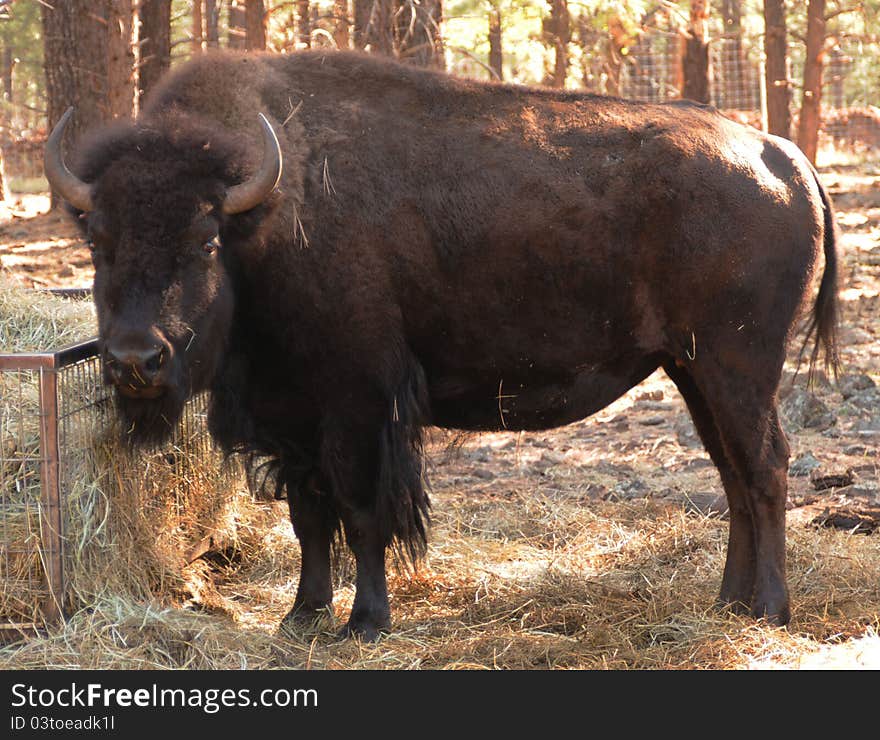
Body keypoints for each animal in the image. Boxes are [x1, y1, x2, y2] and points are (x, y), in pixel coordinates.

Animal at [46, 50, 840, 640]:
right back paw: (728, 604)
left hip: (738, 367)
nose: (135, 361)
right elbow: (309, 517)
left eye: (204, 242)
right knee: (734, 476)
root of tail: (780, 153)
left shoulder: (359, 403)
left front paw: (365, 623)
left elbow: (361, 511)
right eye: (98, 244)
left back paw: (769, 611)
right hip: (691, 369)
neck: (268, 215)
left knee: (764, 468)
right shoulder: (293, 415)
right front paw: (301, 617)